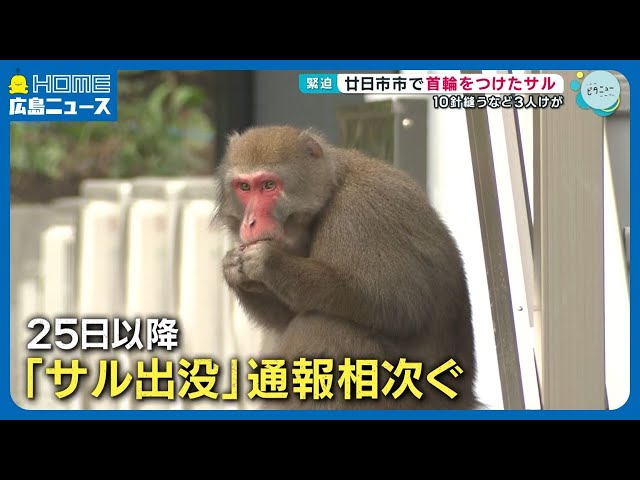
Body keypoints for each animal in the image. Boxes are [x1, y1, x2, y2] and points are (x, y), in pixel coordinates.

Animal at [213, 125, 479, 410]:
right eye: (244, 186)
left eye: (268, 185)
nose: (250, 222)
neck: (332, 191)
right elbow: (286, 318)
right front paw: (232, 268)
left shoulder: (357, 216)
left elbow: (398, 303)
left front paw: (270, 262)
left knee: (326, 326)